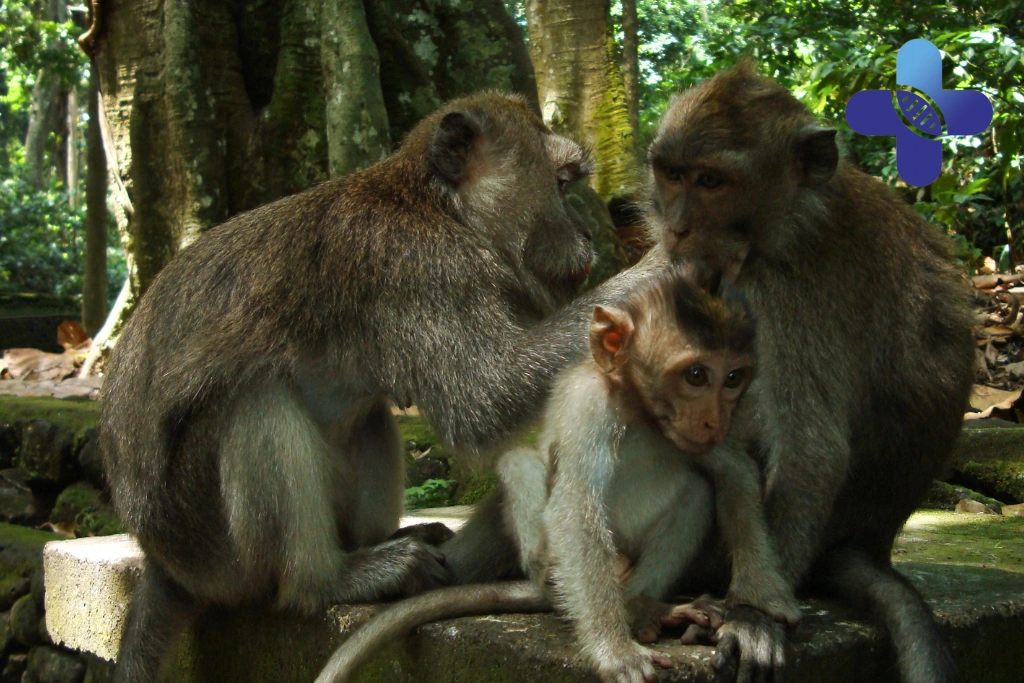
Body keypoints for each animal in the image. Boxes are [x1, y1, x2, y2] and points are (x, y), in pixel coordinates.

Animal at [99, 91, 671, 682]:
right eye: (561, 183)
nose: (588, 233)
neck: (438, 206)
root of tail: (161, 561)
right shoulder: (419, 267)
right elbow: (485, 399)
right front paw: (662, 265)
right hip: (207, 544)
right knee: (254, 402)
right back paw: (325, 581)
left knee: (366, 415)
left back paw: (382, 544)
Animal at [312, 265, 801, 683]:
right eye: (696, 375)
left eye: (734, 378)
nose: (714, 419)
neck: (640, 412)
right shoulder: (591, 407)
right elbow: (575, 509)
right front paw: (615, 653)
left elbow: (733, 470)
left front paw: (762, 599)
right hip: (570, 563)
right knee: (520, 465)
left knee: (696, 492)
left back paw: (642, 607)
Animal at [638, 61, 977, 683]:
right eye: (672, 174)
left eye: (711, 181)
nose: (675, 228)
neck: (793, 217)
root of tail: (863, 542)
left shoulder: (786, 290)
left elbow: (810, 449)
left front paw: (754, 616)